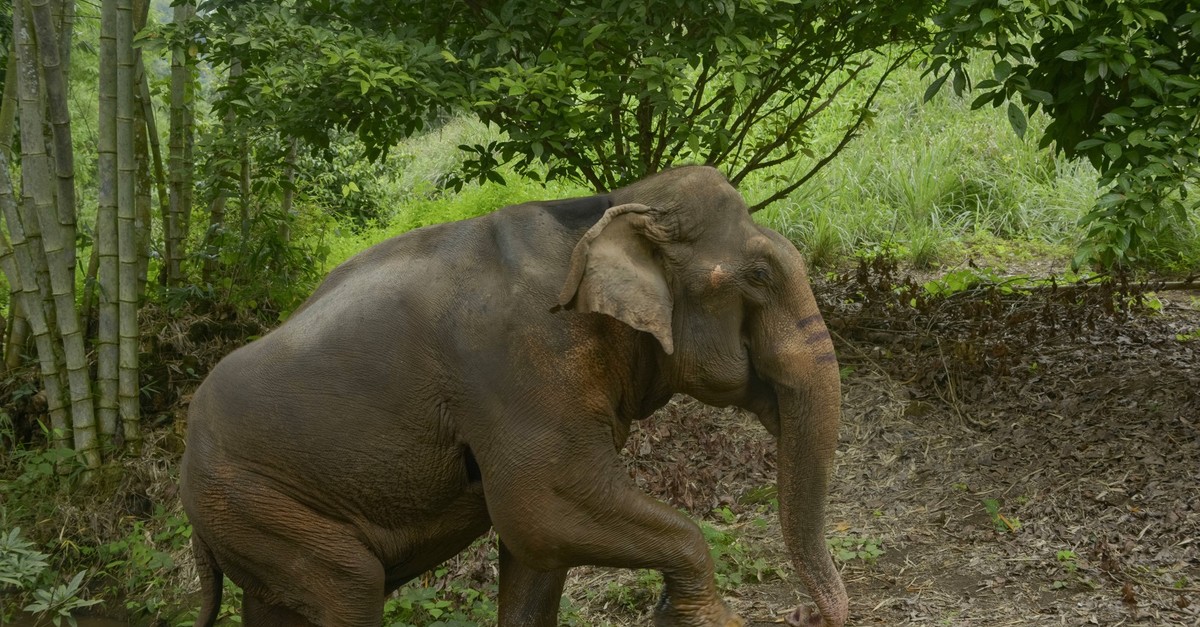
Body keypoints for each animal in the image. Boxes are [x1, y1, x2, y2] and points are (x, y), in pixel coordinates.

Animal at [180, 165, 847, 627]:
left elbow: (538, 553)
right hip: (249, 500)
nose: (805, 613)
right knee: (350, 585)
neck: (609, 206)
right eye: (758, 276)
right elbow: (540, 510)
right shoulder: (522, 372)